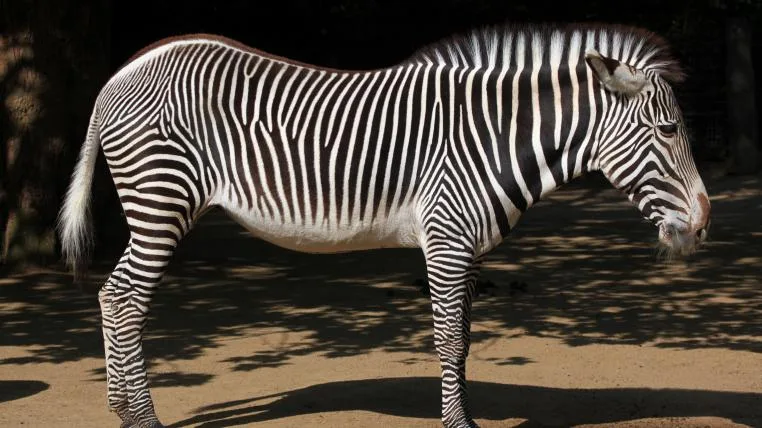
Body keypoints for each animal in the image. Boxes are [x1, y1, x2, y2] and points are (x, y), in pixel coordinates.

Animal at [58, 22, 711, 428]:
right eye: (668, 131)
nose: (705, 221)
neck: (494, 137)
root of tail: (123, 72)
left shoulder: (467, 247)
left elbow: (465, 337)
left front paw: (459, 412)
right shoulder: (446, 238)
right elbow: (448, 338)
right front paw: (459, 423)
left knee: (118, 298)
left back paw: (123, 409)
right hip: (160, 201)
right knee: (122, 298)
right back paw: (141, 415)